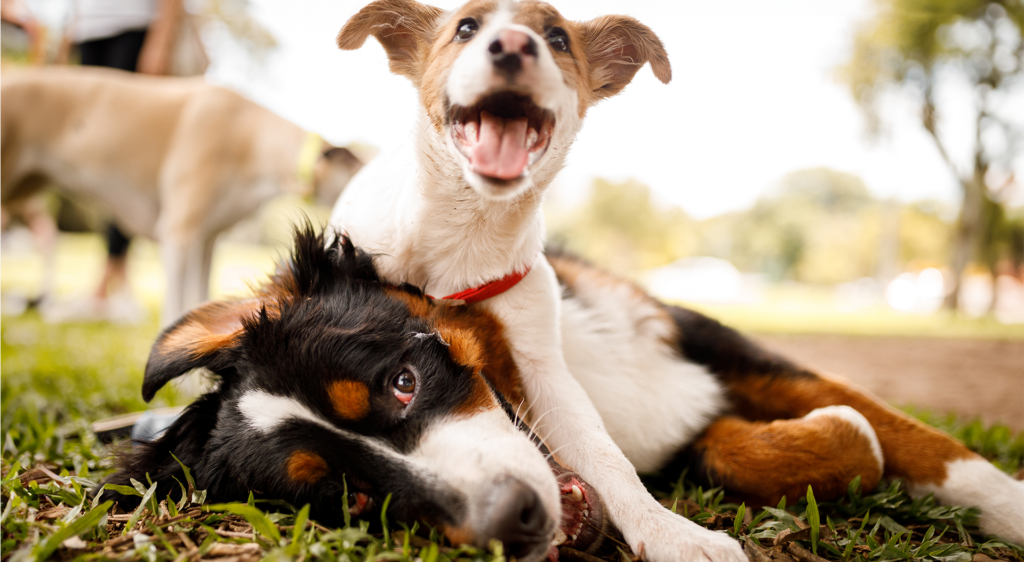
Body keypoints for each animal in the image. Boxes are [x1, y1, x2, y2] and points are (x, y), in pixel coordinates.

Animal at [327, 2, 1024, 556]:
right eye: (466, 28)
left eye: (557, 37)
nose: (513, 46)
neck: (470, 236)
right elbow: (846, 435)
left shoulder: (723, 350)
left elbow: (923, 441)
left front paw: (1011, 506)